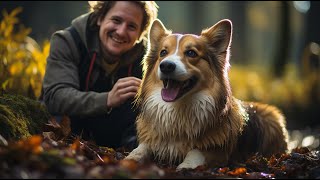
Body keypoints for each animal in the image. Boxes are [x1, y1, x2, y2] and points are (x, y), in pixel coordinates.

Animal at [124, 19, 288, 171]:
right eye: (163, 53)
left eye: (191, 53)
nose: (166, 66)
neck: (178, 110)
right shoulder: (151, 139)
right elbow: (140, 149)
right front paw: (129, 160)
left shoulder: (218, 151)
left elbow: (196, 152)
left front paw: (185, 166)